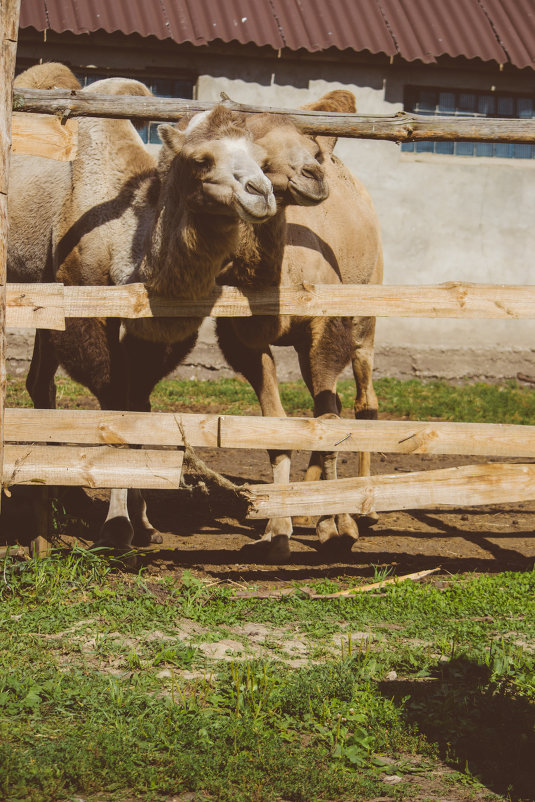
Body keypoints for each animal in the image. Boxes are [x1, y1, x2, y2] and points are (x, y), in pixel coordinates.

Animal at [8, 65, 280, 548]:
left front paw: (144, 519)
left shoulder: (153, 330)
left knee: (40, 383)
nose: (261, 192)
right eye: (200, 160)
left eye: (262, 159)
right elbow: (116, 402)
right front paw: (117, 526)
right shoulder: (84, 302)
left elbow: (139, 404)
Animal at [216, 89, 384, 564]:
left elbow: (328, 421)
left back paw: (362, 510)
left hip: (366, 314)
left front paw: (341, 527)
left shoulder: (326, 329)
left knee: (363, 402)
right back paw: (311, 508)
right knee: (332, 403)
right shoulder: (243, 341)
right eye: (255, 152)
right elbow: (279, 426)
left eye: (312, 151)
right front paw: (277, 530)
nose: (314, 175)